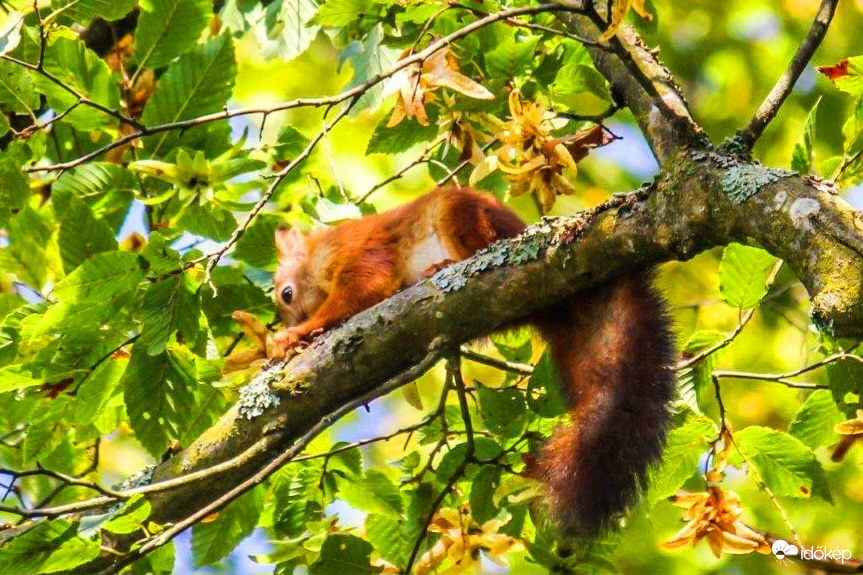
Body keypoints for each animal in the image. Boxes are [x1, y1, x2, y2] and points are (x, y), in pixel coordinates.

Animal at [274, 187, 680, 536]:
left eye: (286, 294)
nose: (292, 322)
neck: (319, 257)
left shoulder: (359, 251)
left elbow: (363, 288)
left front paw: (296, 334)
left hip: (462, 215)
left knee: (476, 245)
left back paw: (444, 265)